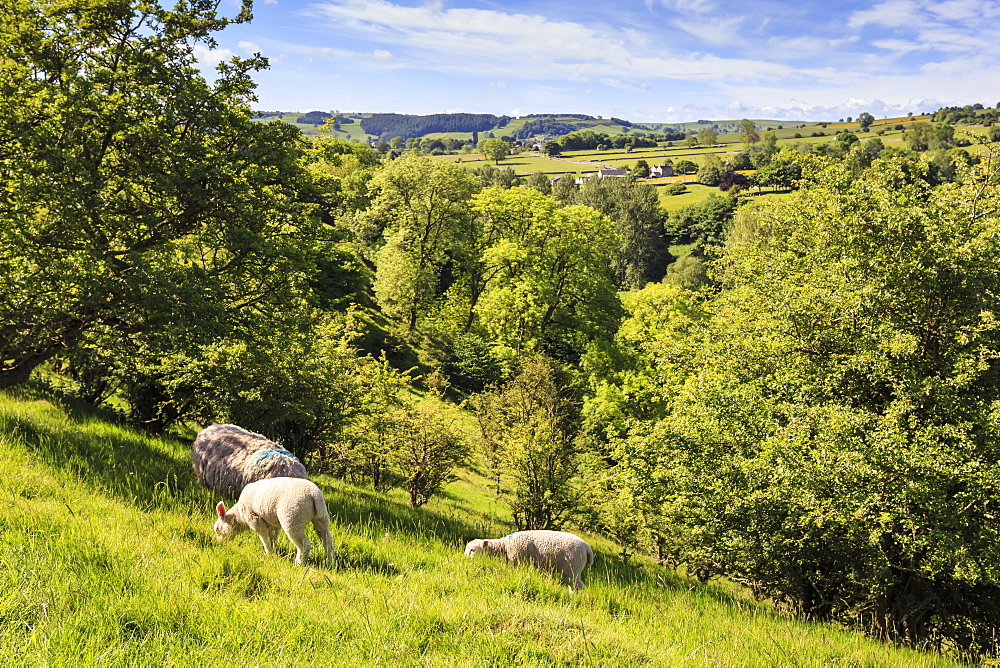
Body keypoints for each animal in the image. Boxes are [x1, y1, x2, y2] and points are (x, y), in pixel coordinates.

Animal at [462, 528, 592, 592]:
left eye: (473, 550)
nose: (464, 559)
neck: (504, 546)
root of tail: (587, 547)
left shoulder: (517, 560)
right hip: (572, 569)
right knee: (573, 585)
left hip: (573, 566)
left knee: (578, 586)